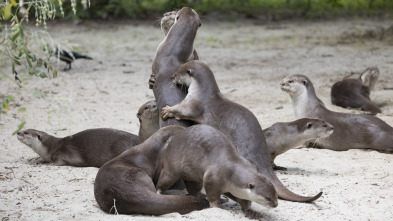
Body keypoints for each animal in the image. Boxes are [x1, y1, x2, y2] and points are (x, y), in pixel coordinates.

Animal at [16, 99, 158, 166]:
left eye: (26, 132)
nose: (18, 133)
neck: (50, 148)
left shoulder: (65, 153)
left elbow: (60, 161)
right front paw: (37, 161)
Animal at [161, 60, 320, 202]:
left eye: (178, 72)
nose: (172, 77)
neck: (202, 92)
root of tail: (260, 156)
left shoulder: (193, 104)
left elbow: (181, 110)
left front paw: (167, 110)